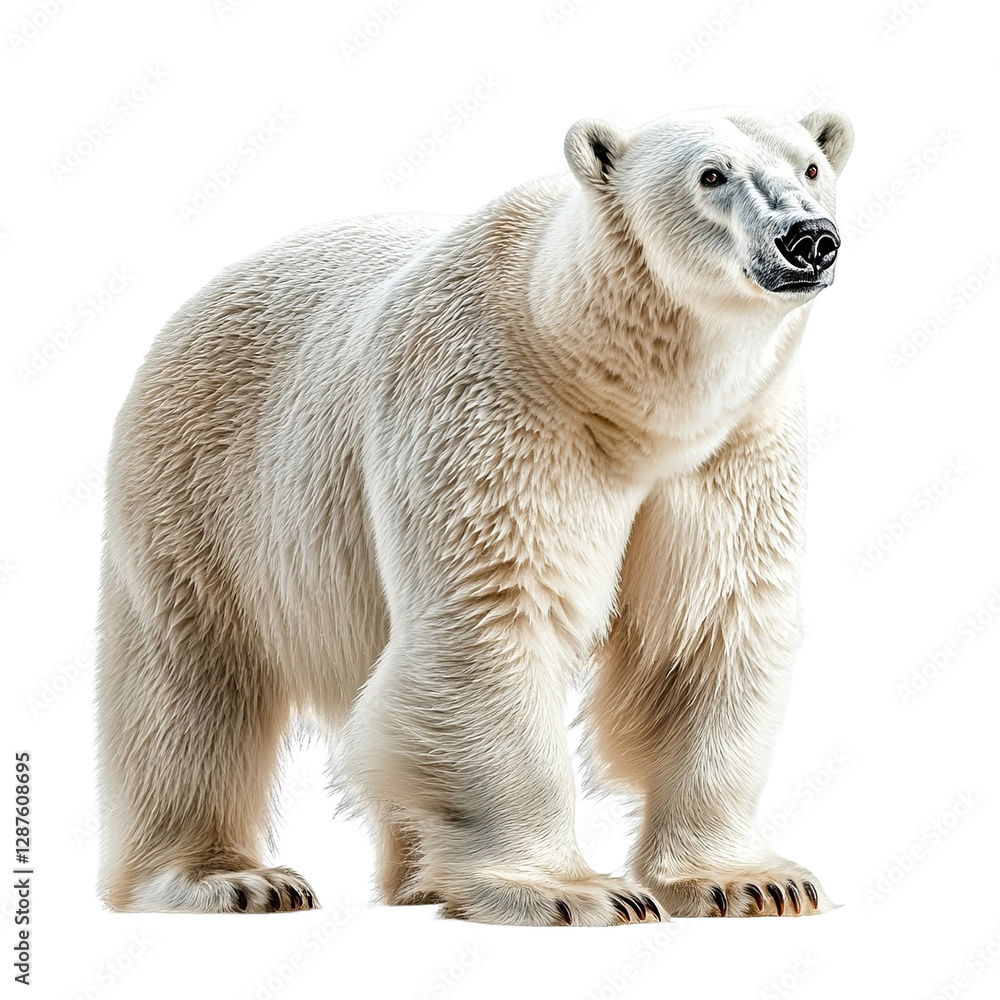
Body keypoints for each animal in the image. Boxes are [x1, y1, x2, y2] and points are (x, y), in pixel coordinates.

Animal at [95, 104, 853, 925]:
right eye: (711, 174)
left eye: (811, 166)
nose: (809, 237)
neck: (624, 391)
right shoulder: (495, 400)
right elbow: (496, 610)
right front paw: (570, 891)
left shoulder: (732, 447)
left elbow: (709, 623)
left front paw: (753, 881)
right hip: (204, 482)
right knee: (191, 681)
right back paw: (231, 878)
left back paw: (422, 877)